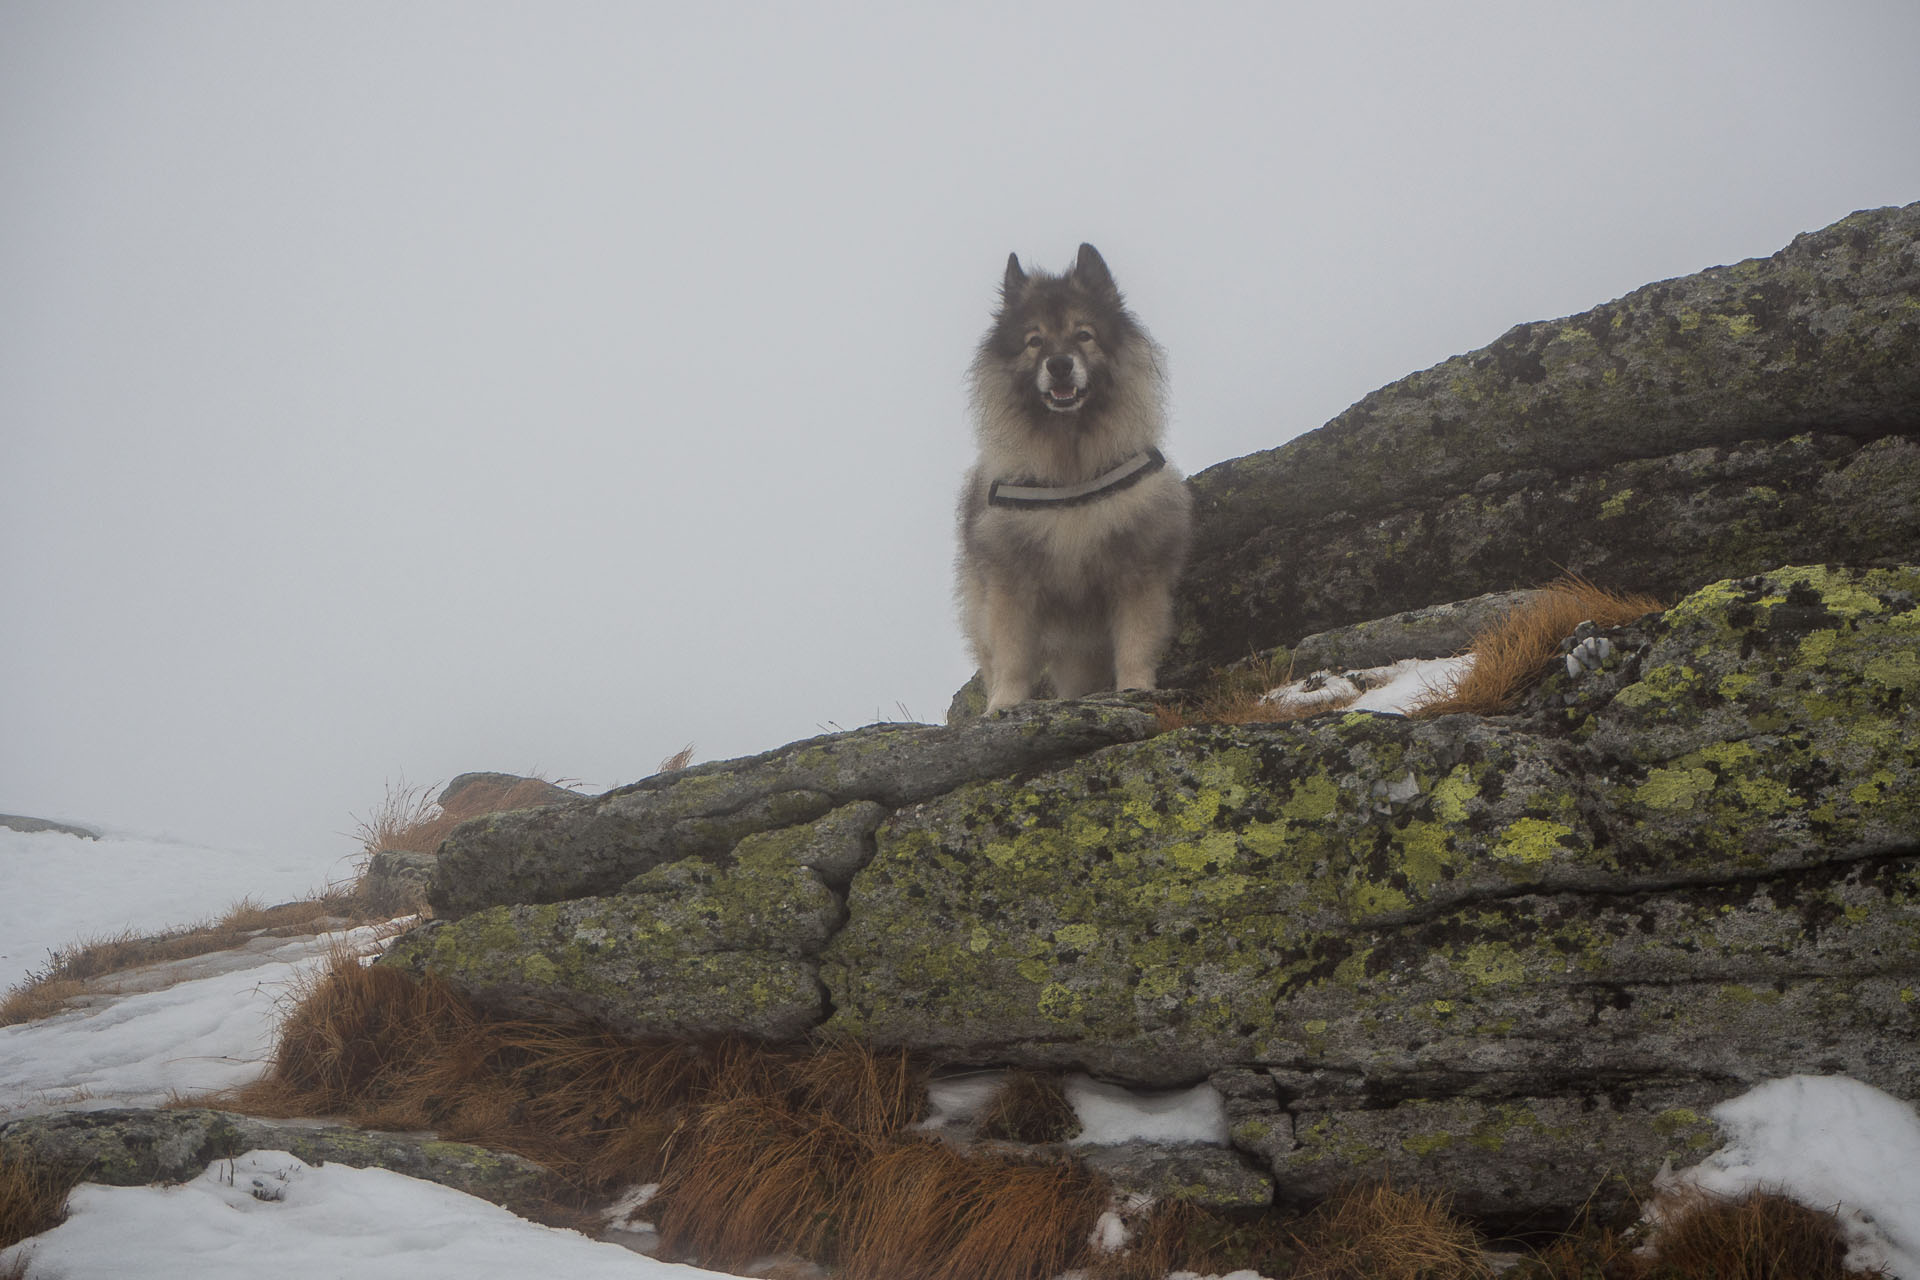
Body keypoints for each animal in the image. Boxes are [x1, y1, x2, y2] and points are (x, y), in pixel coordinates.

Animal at [952, 243, 1190, 717]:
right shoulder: (1010, 582)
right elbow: (1012, 656)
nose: (1059, 365)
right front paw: (1003, 705)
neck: (1070, 464)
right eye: (1034, 341)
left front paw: (1135, 689)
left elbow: (1136, 641)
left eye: (1084, 335)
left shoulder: (1137, 570)